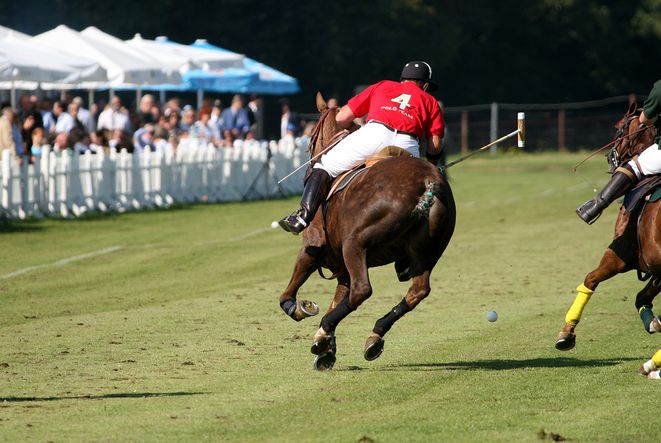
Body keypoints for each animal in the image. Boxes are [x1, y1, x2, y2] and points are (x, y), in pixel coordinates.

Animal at [278, 93, 456, 370]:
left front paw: (298, 310)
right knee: (418, 291)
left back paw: (332, 330)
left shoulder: (312, 248)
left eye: (311, 136)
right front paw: (326, 347)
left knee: (362, 290)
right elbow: (338, 298)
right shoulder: (341, 268)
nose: (309, 159)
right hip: (429, 252)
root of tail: (428, 184)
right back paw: (374, 336)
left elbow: (289, 291)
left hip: (355, 243)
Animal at [555, 102, 659, 351]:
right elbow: (642, 297)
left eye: (618, 126)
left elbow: (590, 279)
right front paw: (652, 322)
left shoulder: (619, 255)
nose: (609, 158)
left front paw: (566, 333)